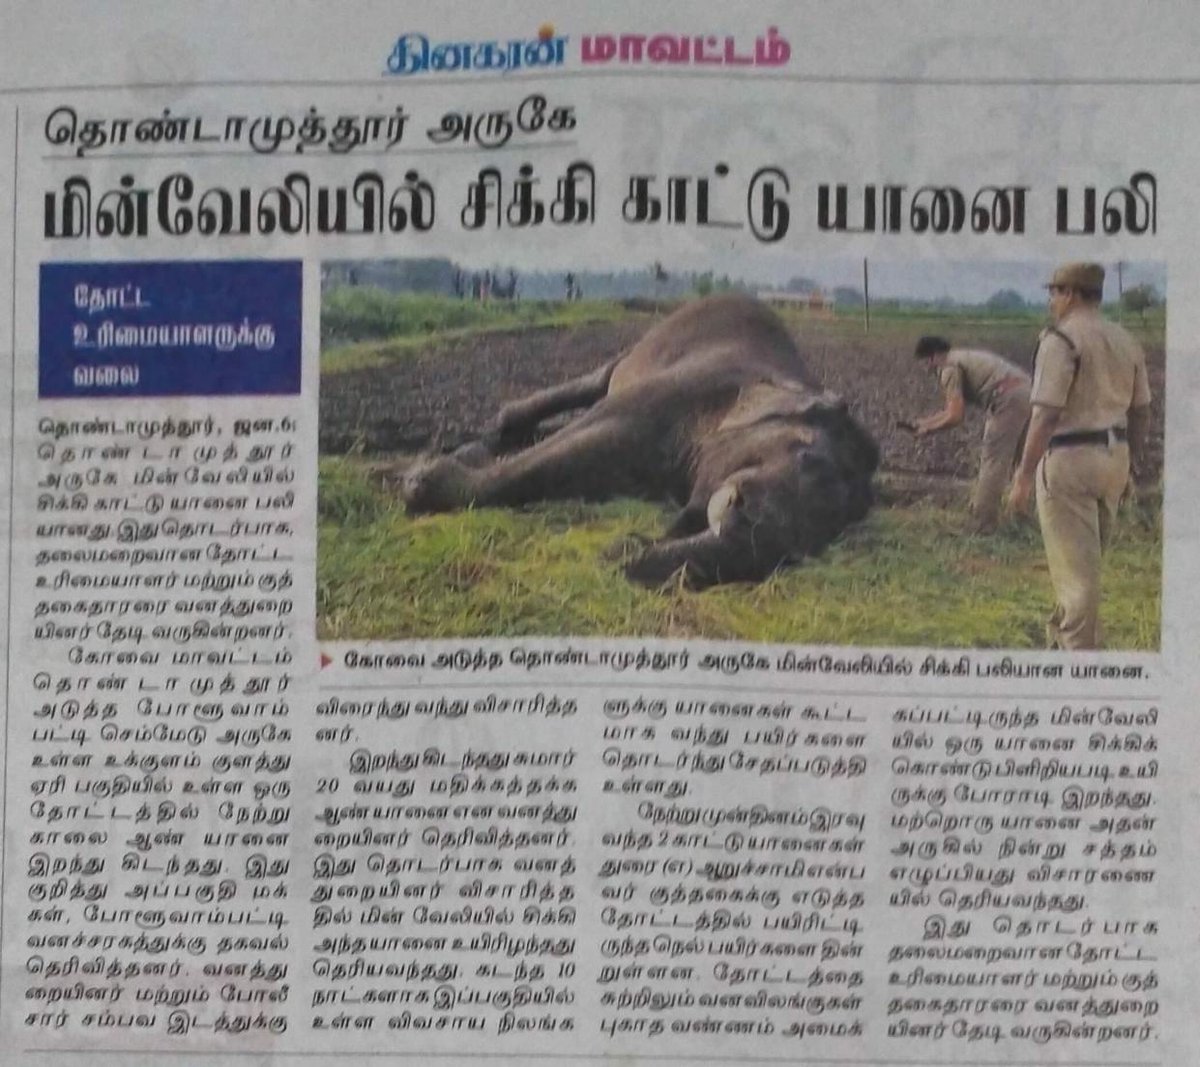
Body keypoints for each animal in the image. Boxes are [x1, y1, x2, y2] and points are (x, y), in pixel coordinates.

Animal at [402, 294, 879, 588]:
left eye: (822, 535)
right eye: (806, 455)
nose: (619, 548)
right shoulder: (687, 386)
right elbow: (573, 444)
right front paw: (422, 482)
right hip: (648, 341)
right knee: (597, 382)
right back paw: (499, 433)